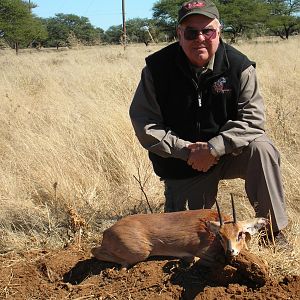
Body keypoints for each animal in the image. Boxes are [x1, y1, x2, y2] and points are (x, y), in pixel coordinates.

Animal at [92, 197, 268, 270]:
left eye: (240, 233)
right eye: (220, 236)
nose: (231, 251)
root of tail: (107, 231)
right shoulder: (202, 252)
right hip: (141, 252)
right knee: (94, 251)